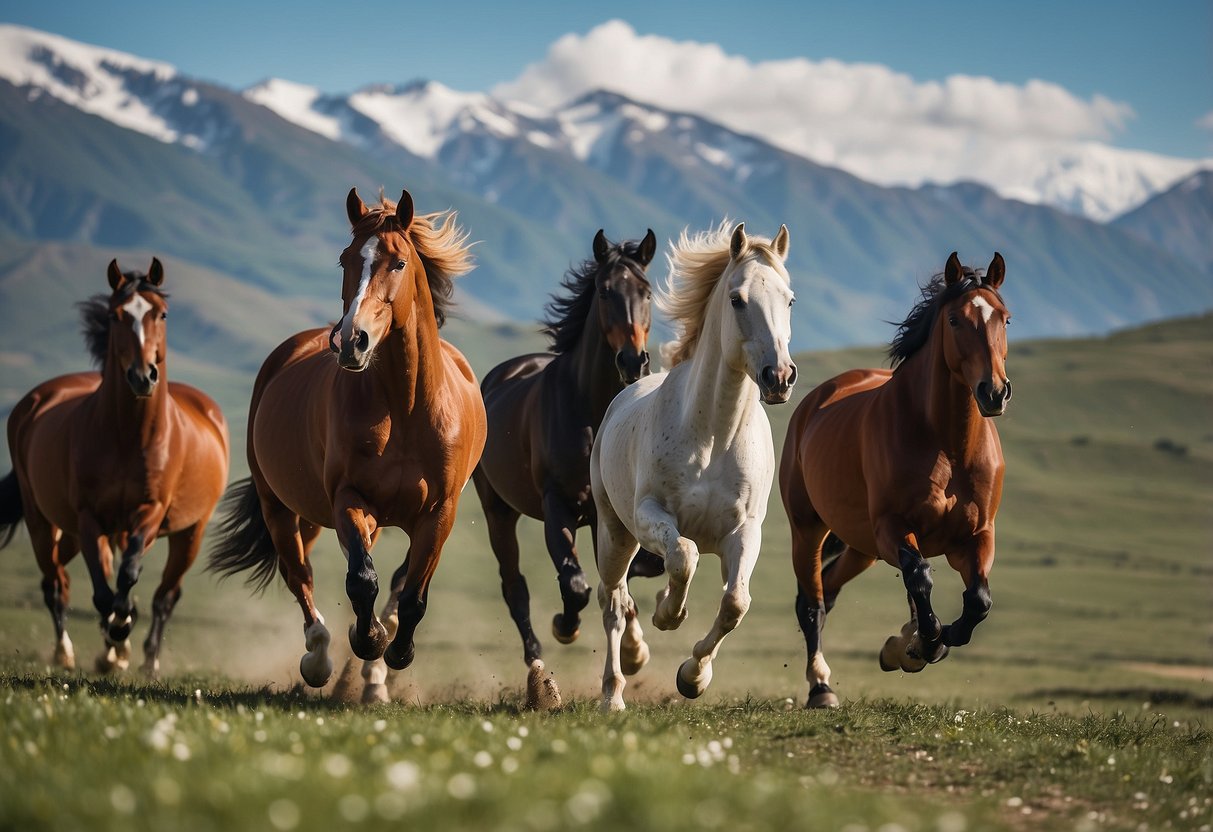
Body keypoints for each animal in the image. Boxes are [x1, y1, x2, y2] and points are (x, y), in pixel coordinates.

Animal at [0, 260, 229, 679]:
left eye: (162, 313)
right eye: (114, 315)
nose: (143, 376)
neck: (128, 436)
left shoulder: (150, 513)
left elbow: (127, 577)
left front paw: (121, 634)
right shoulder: (90, 518)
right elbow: (104, 591)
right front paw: (114, 641)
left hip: (190, 531)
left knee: (165, 595)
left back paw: (148, 659)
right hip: (44, 521)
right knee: (55, 584)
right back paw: (67, 652)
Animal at [209, 189, 487, 703]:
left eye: (399, 263)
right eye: (345, 259)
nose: (351, 342)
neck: (405, 408)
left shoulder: (440, 512)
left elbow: (412, 595)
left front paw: (395, 653)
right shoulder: (349, 499)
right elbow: (361, 581)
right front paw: (368, 639)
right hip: (280, 506)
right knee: (299, 575)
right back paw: (319, 658)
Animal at [470, 229, 659, 708]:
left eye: (647, 291)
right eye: (605, 291)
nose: (634, 362)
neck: (590, 411)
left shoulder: (607, 516)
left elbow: (622, 582)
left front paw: (634, 652)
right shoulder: (559, 506)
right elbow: (575, 584)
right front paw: (566, 626)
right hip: (499, 512)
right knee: (514, 588)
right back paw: (539, 667)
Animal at [591, 223, 800, 717]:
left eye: (789, 299)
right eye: (738, 299)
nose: (780, 377)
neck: (713, 436)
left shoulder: (744, 531)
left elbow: (735, 603)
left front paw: (693, 676)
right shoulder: (650, 515)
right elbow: (683, 556)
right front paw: (669, 613)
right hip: (615, 533)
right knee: (613, 602)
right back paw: (612, 694)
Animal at [776, 251, 1014, 708]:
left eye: (1005, 319)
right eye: (955, 320)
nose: (993, 392)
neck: (947, 445)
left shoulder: (977, 536)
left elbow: (978, 600)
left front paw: (925, 642)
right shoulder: (893, 528)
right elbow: (920, 577)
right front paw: (922, 642)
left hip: (860, 547)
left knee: (830, 589)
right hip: (808, 529)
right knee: (812, 604)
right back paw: (821, 688)